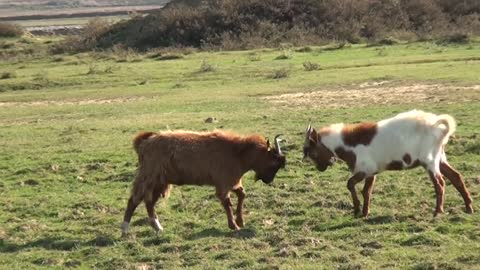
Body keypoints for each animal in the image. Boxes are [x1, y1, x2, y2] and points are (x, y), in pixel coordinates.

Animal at [122, 130, 284, 233]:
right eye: (274, 162)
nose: (269, 180)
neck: (237, 152)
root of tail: (145, 142)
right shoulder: (223, 184)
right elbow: (227, 204)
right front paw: (233, 225)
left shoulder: (232, 182)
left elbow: (242, 195)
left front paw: (240, 221)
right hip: (149, 177)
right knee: (134, 200)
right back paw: (125, 230)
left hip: (160, 182)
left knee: (149, 202)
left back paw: (158, 227)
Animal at [304, 109, 472, 217]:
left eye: (311, 152)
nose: (320, 168)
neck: (349, 144)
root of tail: (440, 129)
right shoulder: (372, 172)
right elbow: (366, 191)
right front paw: (365, 213)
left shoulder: (365, 170)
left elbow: (350, 184)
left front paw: (357, 210)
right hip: (440, 158)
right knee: (456, 177)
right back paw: (469, 207)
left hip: (430, 161)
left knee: (440, 184)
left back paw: (438, 212)